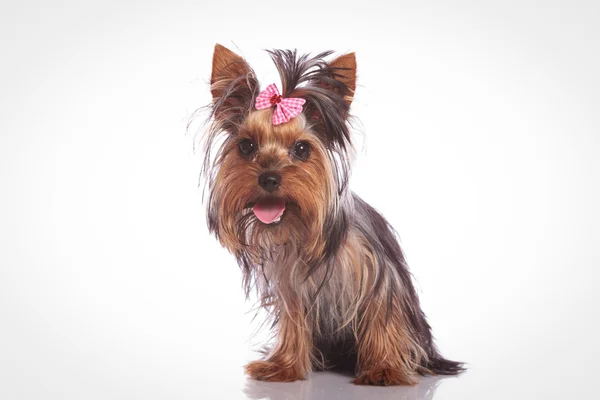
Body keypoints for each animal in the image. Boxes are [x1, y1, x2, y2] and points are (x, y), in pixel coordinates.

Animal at [198, 43, 464, 384]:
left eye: (301, 149)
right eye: (246, 146)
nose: (269, 178)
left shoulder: (379, 273)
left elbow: (383, 314)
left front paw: (384, 368)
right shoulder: (291, 283)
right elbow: (293, 321)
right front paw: (283, 366)